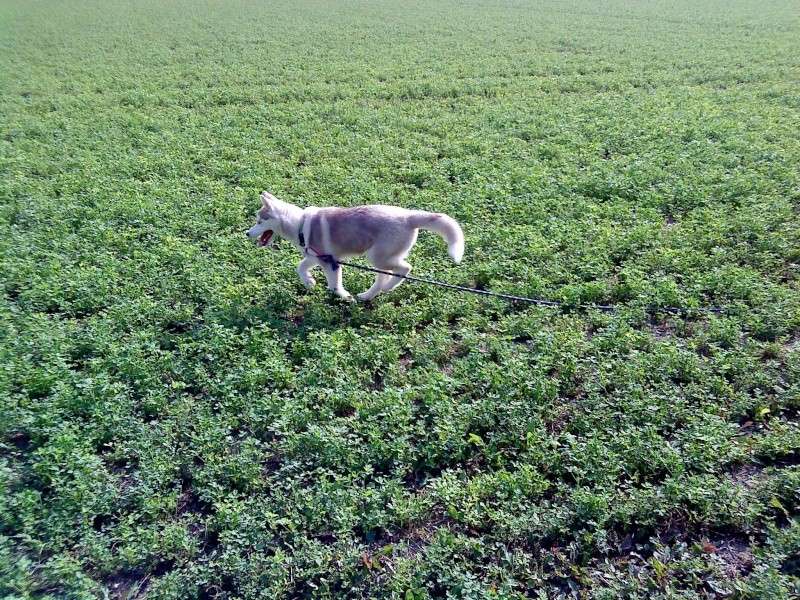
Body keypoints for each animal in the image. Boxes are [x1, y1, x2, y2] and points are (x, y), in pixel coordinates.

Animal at [247, 192, 466, 302]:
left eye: (259, 221)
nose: (247, 234)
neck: (300, 224)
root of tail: (408, 216)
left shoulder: (330, 263)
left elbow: (334, 284)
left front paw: (344, 296)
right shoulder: (318, 257)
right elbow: (300, 267)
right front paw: (309, 282)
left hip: (378, 256)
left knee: (404, 268)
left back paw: (384, 289)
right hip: (381, 257)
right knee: (386, 275)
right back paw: (370, 295)